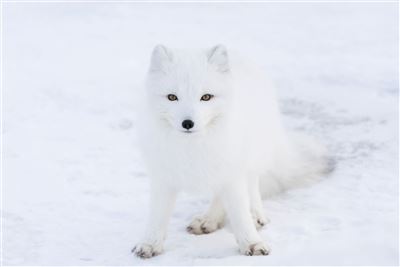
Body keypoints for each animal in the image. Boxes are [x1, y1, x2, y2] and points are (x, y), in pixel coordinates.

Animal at [133, 45, 330, 258]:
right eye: (172, 97)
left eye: (206, 97)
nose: (188, 123)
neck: (193, 147)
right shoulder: (163, 177)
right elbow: (157, 215)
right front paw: (149, 244)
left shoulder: (232, 173)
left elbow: (239, 212)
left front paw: (252, 243)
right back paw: (208, 220)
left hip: (249, 156)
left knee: (252, 185)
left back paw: (253, 215)